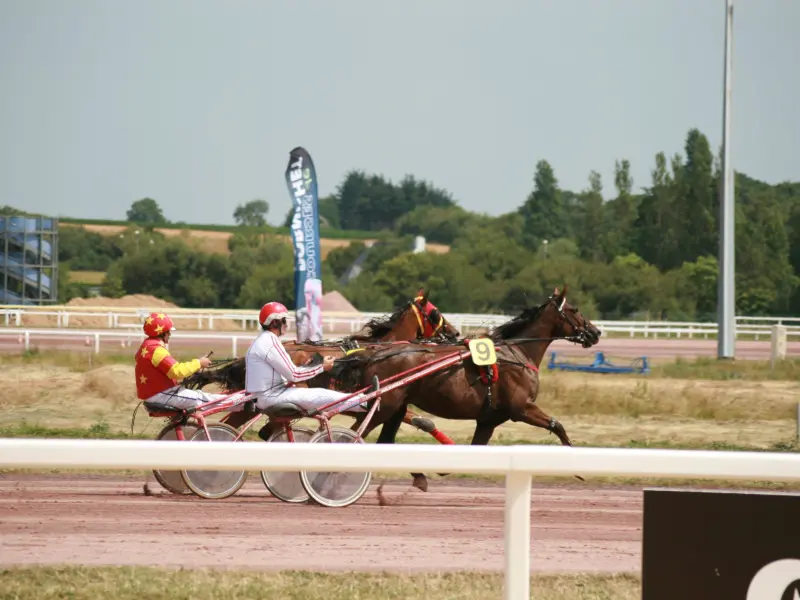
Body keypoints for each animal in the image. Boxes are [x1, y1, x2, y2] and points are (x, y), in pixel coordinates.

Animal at [334, 286, 604, 492]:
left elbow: (477, 447)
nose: (596, 332)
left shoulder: (488, 420)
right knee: (353, 436)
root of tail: (372, 355)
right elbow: (557, 425)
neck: (517, 353)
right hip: (385, 406)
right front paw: (578, 468)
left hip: (396, 408)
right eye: (574, 310)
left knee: (384, 441)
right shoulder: (522, 409)